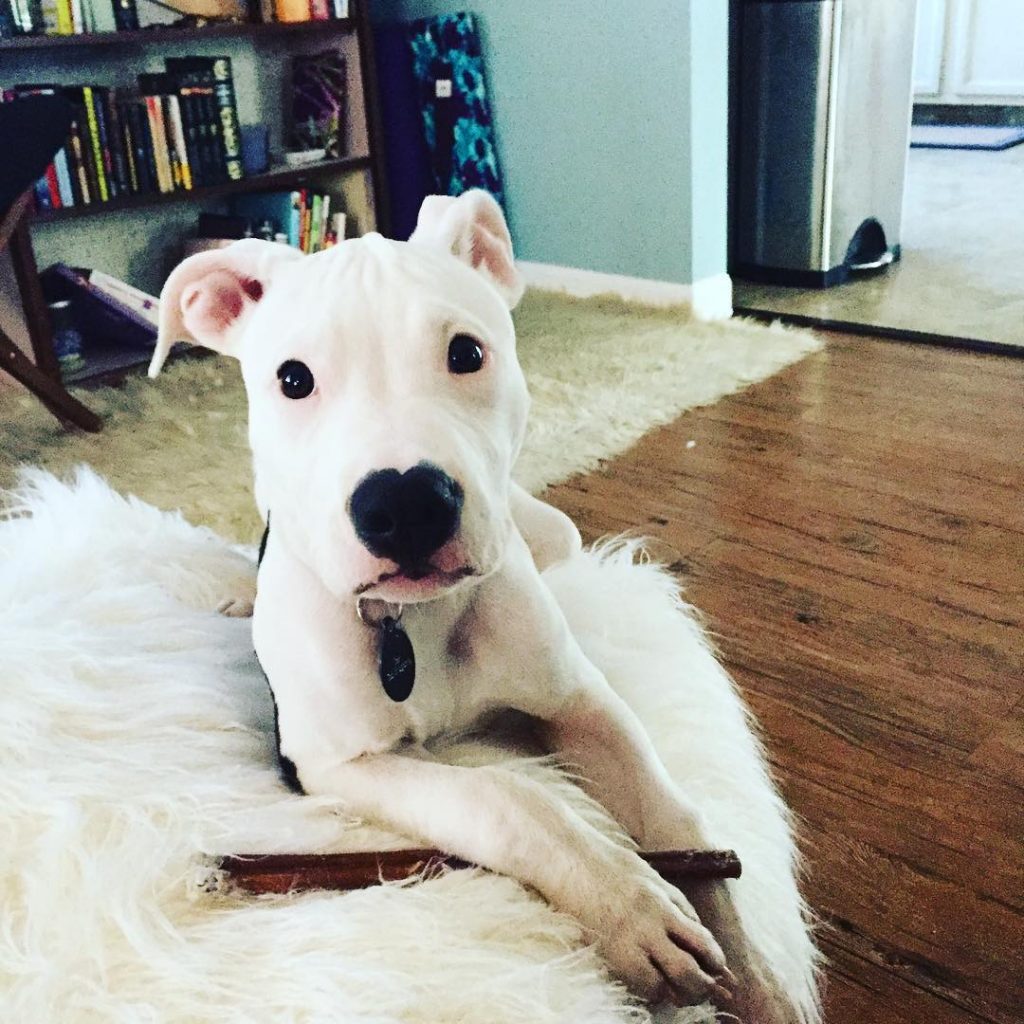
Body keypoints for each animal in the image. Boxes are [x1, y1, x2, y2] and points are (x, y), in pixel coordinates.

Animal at [151, 190, 806, 1015]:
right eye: (293, 379)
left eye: (466, 353)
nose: (406, 504)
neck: (416, 622)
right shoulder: (336, 763)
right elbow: (506, 799)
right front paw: (632, 911)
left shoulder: (579, 700)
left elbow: (676, 821)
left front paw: (755, 979)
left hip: (547, 529)